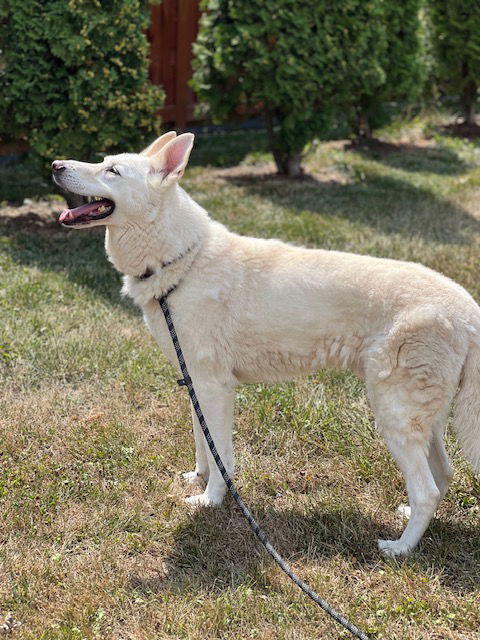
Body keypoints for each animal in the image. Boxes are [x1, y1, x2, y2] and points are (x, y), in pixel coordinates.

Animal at [52, 131, 480, 556]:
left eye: (112, 171)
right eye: (102, 161)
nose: (55, 165)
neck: (181, 260)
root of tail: (468, 309)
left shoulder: (215, 388)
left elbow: (222, 455)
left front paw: (211, 500)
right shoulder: (195, 386)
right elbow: (203, 444)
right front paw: (198, 478)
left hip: (393, 414)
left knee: (427, 490)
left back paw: (399, 548)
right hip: (422, 418)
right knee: (442, 475)